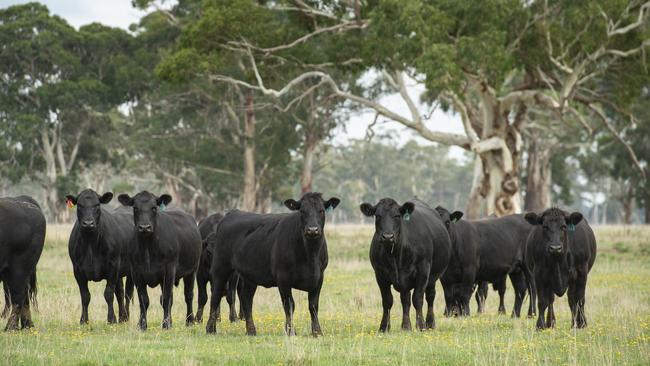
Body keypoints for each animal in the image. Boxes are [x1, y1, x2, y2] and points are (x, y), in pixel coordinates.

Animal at [66, 190, 134, 324]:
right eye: (79, 205)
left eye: (97, 205)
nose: (88, 223)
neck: (90, 244)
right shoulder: (77, 270)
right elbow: (85, 296)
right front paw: (84, 320)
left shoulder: (113, 267)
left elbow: (108, 294)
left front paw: (111, 319)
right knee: (120, 293)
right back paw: (121, 317)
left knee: (128, 293)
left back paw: (125, 317)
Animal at [117, 193, 201, 330]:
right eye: (135, 208)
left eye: (154, 208)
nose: (144, 227)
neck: (148, 248)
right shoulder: (136, 273)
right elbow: (144, 300)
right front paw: (142, 325)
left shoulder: (169, 270)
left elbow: (166, 299)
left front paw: (166, 324)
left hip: (192, 271)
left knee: (188, 295)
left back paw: (189, 321)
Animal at [206, 193, 342, 336]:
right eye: (302, 211)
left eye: (321, 211)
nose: (312, 230)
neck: (310, 255)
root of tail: (232, 213)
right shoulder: (283, 278)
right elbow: (289, 305)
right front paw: (291, 331)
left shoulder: (319, 277)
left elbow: (313, 306)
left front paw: (317, 332)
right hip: (220, 267)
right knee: (216, 296)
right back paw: (210, 328)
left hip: (249, 275)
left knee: (247, 300)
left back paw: (251, 330)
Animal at [360, 197, 450, 332]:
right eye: (378, 216)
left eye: (397, 215)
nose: (388, 237)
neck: (395, 256)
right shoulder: (380, 275)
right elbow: (387, 301)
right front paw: (384, 327)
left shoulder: (423, 272)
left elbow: (417, 299)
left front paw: (421, 325)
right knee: (405, 299)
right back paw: (406, 326)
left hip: (432, 277)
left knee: (430, 297)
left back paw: (430, 323)